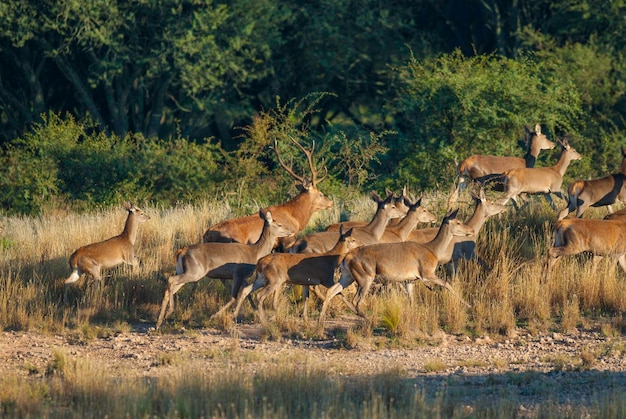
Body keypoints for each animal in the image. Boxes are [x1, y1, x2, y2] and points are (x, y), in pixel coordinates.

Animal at [156, 210, 292, 332]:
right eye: (279, 224)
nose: (291, 231)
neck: (255, 252)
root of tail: (181, 251)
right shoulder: (238, 273)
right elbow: (233, 297)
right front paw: (214, 316)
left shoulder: (243, 277)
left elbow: (246, 294)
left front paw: (255, 313)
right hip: (194, 272)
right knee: (170, 279)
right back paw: (168, 312)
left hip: (182, 270)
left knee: (170, 288)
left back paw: (159, 321)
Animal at [230, 226, 360, 322]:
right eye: (353, 240)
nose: (360, 245)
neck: (331, 260)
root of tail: (260, 262)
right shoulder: (326, 278)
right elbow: (339, 293)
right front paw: (357, 312)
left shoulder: (306, 282)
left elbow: (306, 297)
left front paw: (305, 318)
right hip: (274, 280)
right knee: (259, 295)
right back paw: (263, 320)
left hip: (261, 278)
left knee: (246, 290)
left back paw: (235, 314)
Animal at [320, 210, 470, 324]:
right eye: (458, 222)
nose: (470, 231)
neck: (432, 250)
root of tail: (346, 258)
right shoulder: (427, 273)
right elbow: (447, 284)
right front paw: (468, 304)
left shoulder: (409, 280)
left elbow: (411, 299)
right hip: (365, 278)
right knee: (356, 300)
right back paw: (369, 319)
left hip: (347, 276)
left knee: (332, 291)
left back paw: (320, 321)